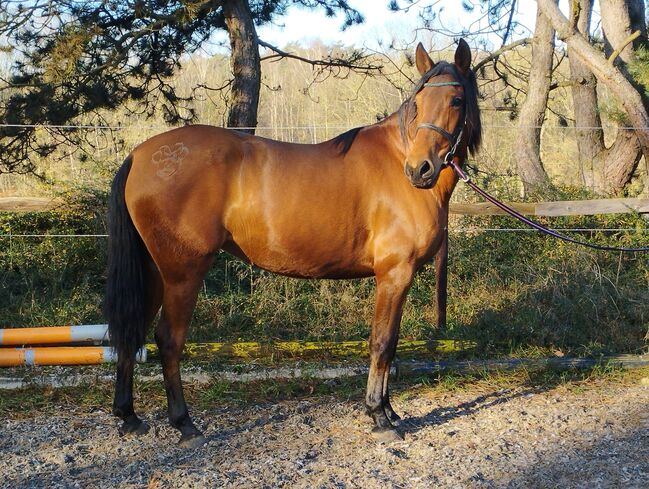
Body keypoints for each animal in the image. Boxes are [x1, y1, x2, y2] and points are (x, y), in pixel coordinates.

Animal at [105, 40, 480, 444]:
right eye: (418, 101)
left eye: (456, 100)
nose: (420, 169)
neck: (397, 162)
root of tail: (139, 155)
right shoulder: (394, 275)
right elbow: (383, 343)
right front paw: (379, 416)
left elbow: (389, 346)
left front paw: (390, 411)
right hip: (182, 274)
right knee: (168, 339)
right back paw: (184, 423)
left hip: (154, 272)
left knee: (133, 331)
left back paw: (128, 415)